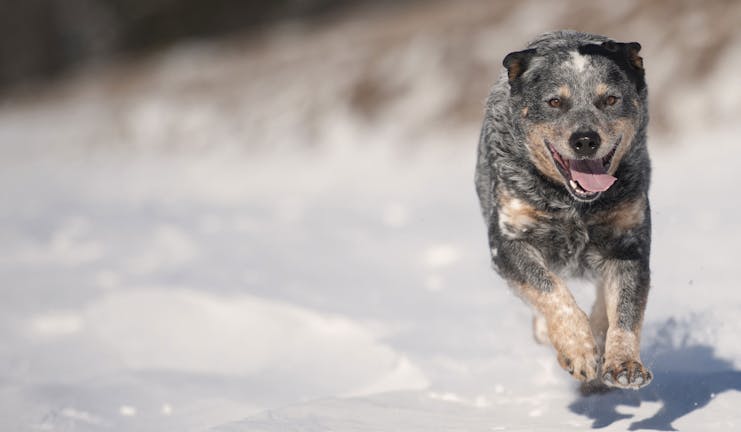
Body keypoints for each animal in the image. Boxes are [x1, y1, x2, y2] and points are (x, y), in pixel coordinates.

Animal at [476, 30, 652, 388]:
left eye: (610, 100)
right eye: (555, 102)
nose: (585, 139)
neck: (574, 207)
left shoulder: (629, 241)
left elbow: (625, 310)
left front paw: (624, 362)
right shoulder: (508, 241)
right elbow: (550, 288)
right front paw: (578, 348)